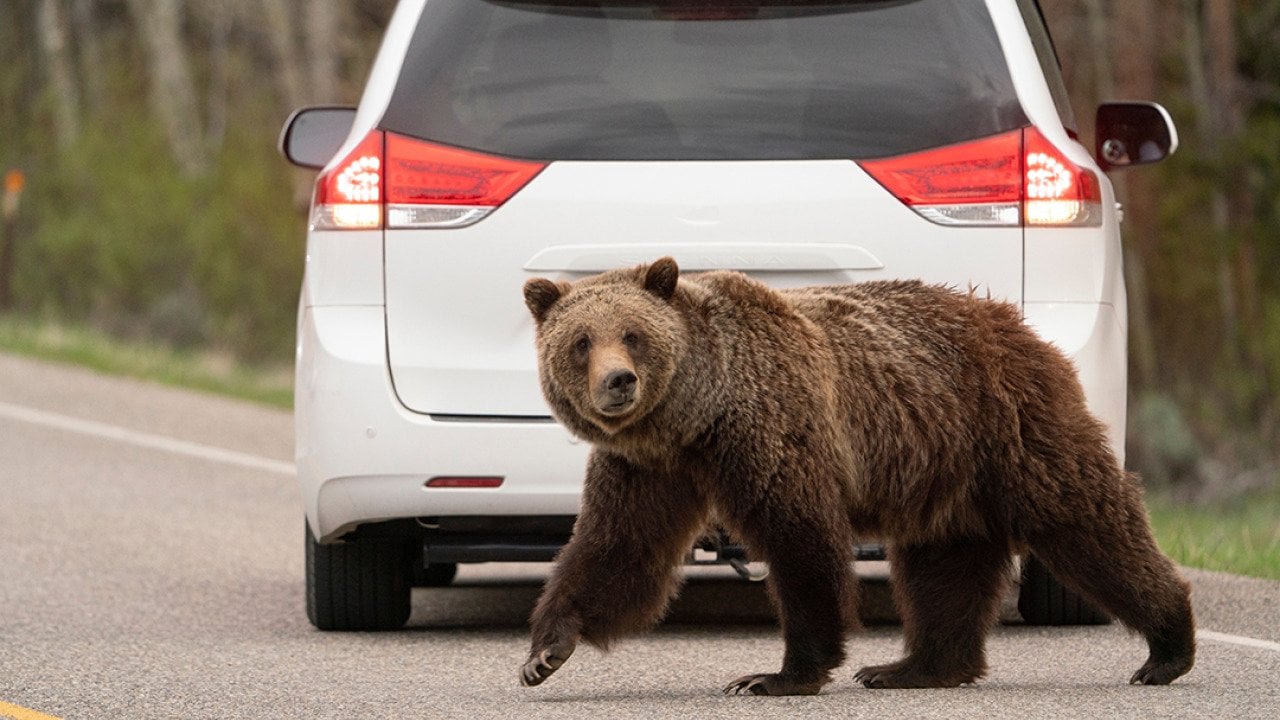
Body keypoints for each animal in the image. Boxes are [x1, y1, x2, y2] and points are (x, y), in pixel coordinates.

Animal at [518, 257, 1194, 696]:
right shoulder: (649, 467)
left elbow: (801, 543)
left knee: (1086, 520)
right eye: (581, 341)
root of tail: (1017, 325)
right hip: (944, 470)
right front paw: (545, 651)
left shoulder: (773, 429)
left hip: (1009, 427)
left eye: (633, 334)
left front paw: (776, 675)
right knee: (943, 567)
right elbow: (619, 547)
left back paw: (1167, 647)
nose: (618, 381)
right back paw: (913, 668)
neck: (696, 416)